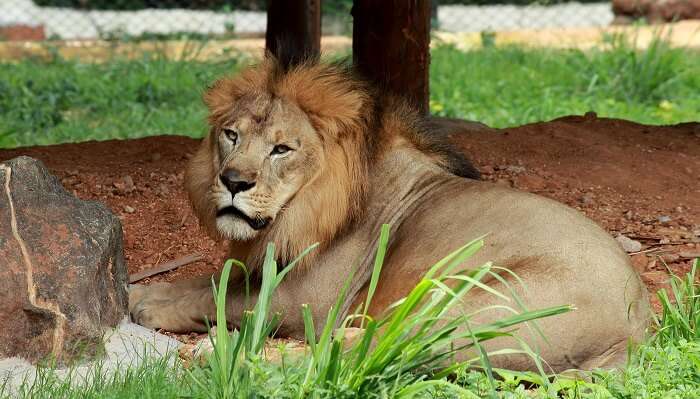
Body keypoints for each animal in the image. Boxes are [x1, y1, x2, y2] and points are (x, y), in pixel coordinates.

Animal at [130, 54, 652, 374]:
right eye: (231, 135)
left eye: (281, 149)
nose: (234, 181)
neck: (302, 209)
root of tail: (635, 327)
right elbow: (206, 282)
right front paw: (139, 291)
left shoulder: (309, 298)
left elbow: (224, 298)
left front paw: (150, 306)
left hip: (458, 307)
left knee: (370, 354)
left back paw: (228, 356)